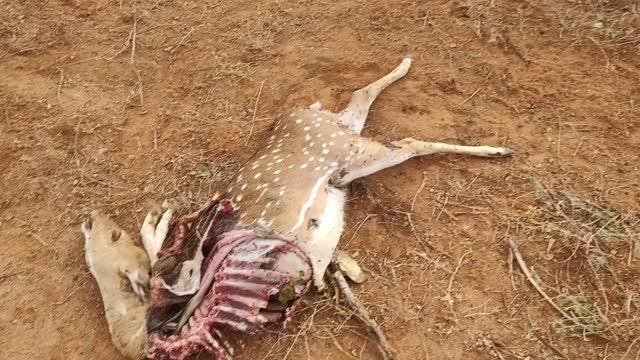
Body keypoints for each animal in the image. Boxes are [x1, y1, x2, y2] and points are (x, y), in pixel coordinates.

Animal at [82, 57, 512, 360]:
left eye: (114, 236)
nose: (89, 219)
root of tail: (309, 112)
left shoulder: (189, 277)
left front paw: (161, 217)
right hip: (345, 147)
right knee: (362, 100)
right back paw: (409, 65)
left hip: (345, 152)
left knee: (407, 141)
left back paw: (498, 149)